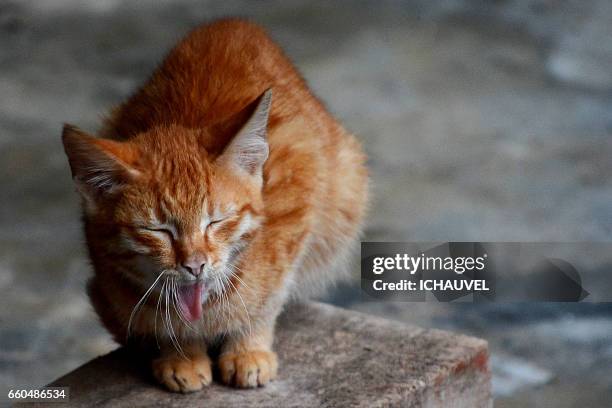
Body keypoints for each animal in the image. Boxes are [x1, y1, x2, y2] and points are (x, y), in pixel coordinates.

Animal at [62, 18, 368, 392]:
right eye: (157, 230)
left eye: (216, 221)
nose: (195, 265)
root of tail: (233, 23)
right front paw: (181, 355)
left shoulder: (298, 202)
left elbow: (268, 296)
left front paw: (248, 348)